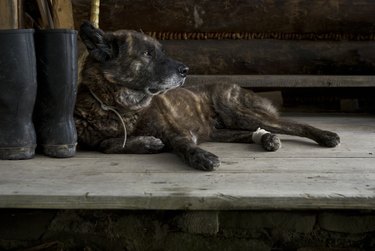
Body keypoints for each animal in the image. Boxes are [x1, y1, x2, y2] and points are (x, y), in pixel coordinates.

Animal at [74, 22, 340, 171]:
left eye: (161, 51)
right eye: (147, 53)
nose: (185, 70)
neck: (120, 107)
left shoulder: (177, 133)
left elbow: (184, 147)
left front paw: (202, 157)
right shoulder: (95, 140)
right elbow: (108, 145)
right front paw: (147, 143)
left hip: (238, 113)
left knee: (295, 124)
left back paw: (327, 136)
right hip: (220, 129)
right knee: (251, 133)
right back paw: (267, 139)